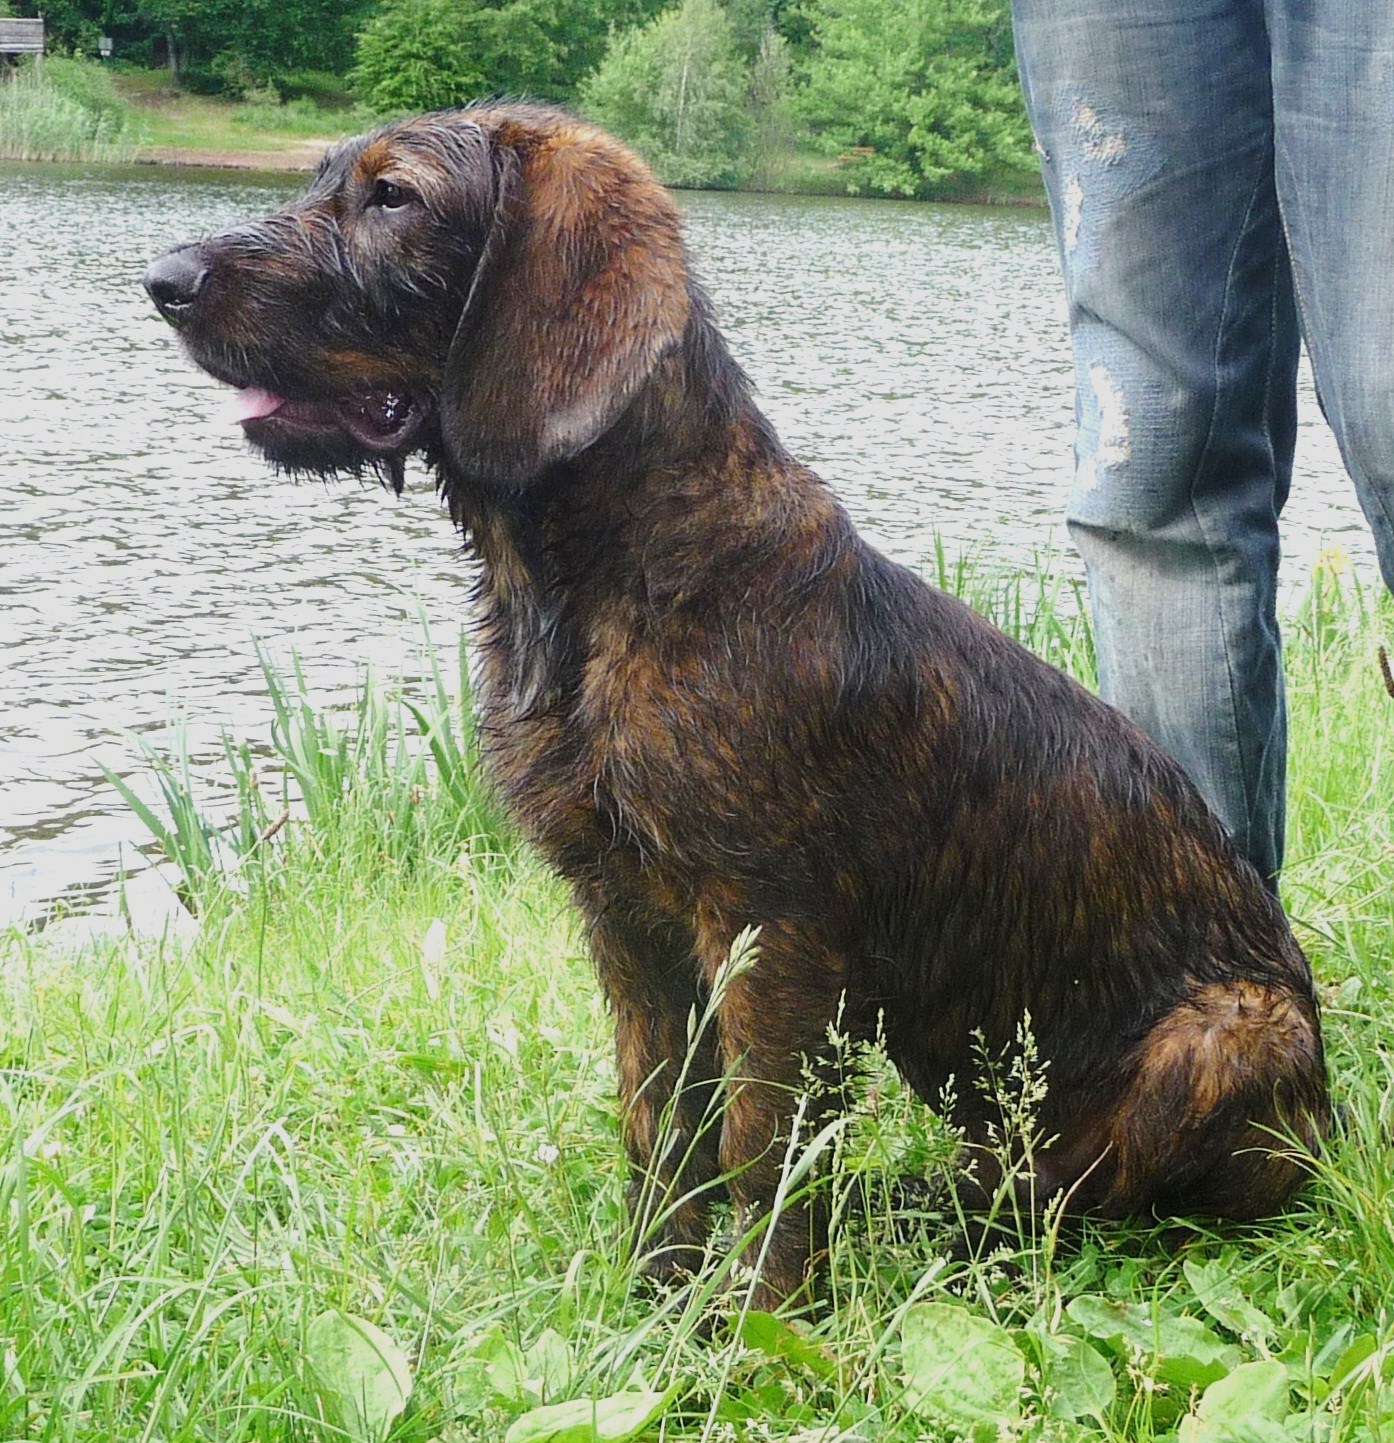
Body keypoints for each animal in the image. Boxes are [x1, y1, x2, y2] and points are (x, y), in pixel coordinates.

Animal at [144, 106, 1333, 1316]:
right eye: (328, 179)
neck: (607, 590)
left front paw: (764, 1327)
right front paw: (652, 1301)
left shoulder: (771, 935)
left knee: (1069, 1196)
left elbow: (766, 1153)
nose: (166, 281)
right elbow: (661, 1129)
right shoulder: (625, 918)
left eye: (393, 198)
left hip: (1223, 1033)